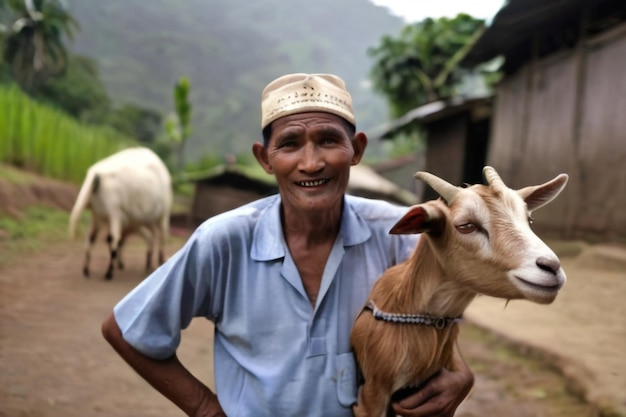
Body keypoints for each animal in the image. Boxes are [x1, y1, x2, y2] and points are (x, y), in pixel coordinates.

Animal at [68, 146, 172, 280]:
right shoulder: (97, 216)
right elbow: (93, 238)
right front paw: (86, 270)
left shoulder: (115, 213)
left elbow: (112, 239)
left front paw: (108, 273)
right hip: (148, 220)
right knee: (153, 236)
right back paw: (150, 263)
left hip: (163, 214)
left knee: (162, 234)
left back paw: (160, 261)